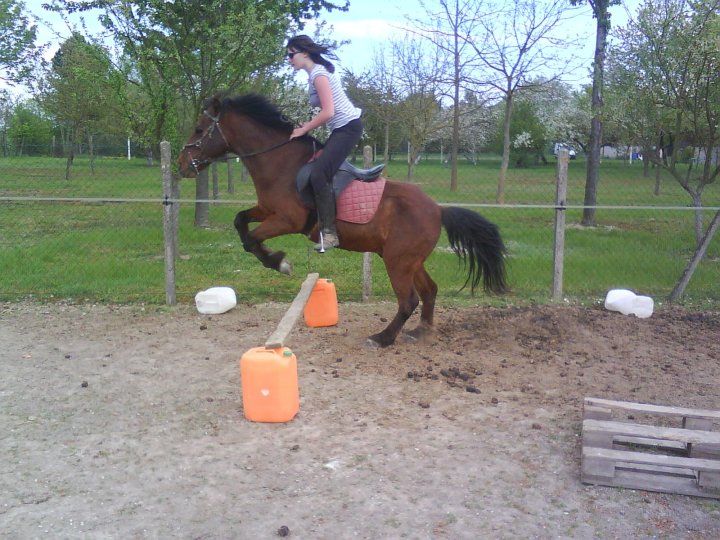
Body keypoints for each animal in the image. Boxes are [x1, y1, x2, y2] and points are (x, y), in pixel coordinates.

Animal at [178, 94, 507, 347]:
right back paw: (420, 332)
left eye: (198, 129)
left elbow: (251, 239)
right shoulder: (266, 209)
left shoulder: (288, 220)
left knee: (409, 300)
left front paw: (279, 262)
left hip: (398, 261)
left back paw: (383, 338)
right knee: (429, 291)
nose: (182, 165)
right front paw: (276, 259)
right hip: (410, 260)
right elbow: (240, 221)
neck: (281, 164)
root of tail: (438, 209)